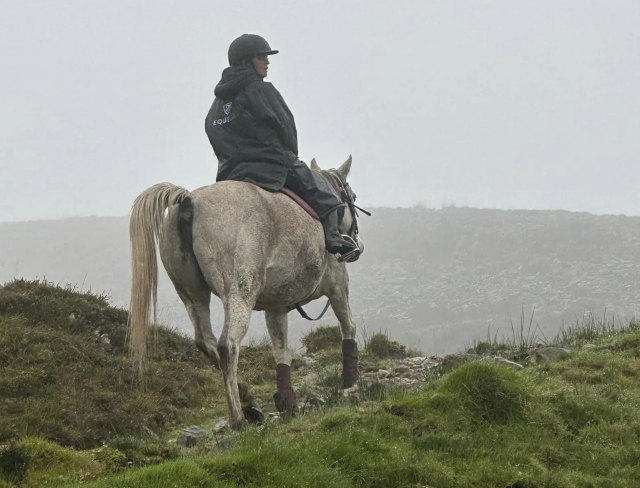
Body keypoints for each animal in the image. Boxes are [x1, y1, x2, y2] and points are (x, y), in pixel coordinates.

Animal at [128, 156, 365, 428]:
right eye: (352, 197)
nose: (357, 246)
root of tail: (189, 200)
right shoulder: (338, 285)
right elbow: (348, 326)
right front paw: (350, 380)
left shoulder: (276, 306)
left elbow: (281, 350)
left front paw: (287, 402)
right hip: (240, 293)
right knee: (227, 346)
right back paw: (238, 418)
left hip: (192, 294)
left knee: (206, 342)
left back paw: (249, 402)